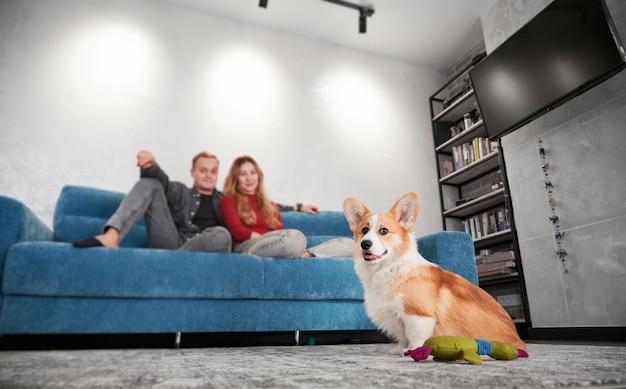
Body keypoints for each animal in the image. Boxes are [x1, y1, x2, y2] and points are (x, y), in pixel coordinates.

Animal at [342, 191, 520, 352]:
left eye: (384, 231)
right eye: (364, 230)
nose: (364, 244)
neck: (390, 268)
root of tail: (520, 341)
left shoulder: (417, 316)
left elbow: (413, 336)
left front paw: (411, 352)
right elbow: (403, 337)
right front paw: (400, 349)